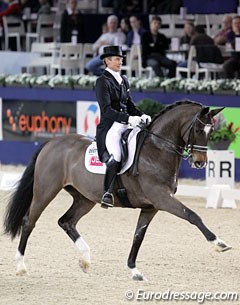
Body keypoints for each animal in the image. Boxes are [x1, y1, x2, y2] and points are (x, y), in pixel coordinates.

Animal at [3, 100, 232, 280]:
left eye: (211, 131)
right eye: (197, 130)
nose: (200, 163)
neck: (157, 149)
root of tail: (51, 142)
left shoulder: (151, 207)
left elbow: (138, 236)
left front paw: (134, 271)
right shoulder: (162, 199)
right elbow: (193, 215)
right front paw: (219, 243)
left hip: (85, 198)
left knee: (66, 221)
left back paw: (85, 259)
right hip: (46, 190)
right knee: (29, 222)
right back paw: (21, 266)